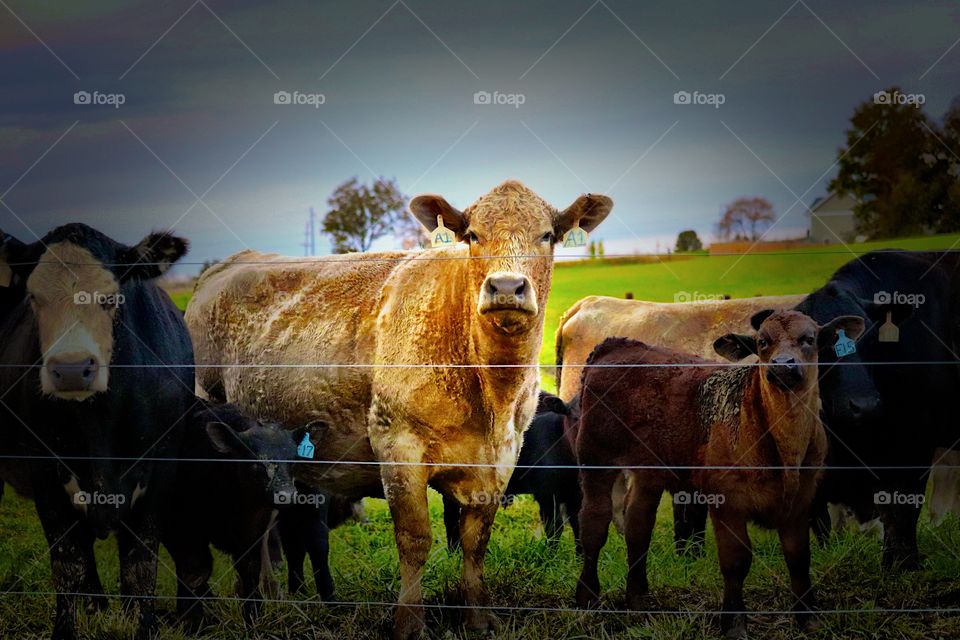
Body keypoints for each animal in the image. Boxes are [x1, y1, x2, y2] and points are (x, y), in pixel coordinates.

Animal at [0, 222, 193, 636]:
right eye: (34, 298)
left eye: (110, 298)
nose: (71, 369)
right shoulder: (45, 473)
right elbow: (67, 562)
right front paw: (65, 630)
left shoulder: (161, 470)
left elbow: (140, 566)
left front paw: (143, 627)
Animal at [163, 402, 324, 628]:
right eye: (256, 461)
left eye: (294, 459)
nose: (286, 494)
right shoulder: (177, 526)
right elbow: (194, 570)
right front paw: (192, 623)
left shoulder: (253, 531)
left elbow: (250, 569)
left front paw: (253, 617)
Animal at [440, 392, 580, 552]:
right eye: (574, 417)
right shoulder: (546, 494)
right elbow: (554, 527)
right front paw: (550, 554)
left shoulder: (576, 496)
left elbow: (578, 525)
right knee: (451, 517)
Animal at [572, 308, 868, 636]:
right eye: (762, 342)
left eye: (809, 339)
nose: (782, 364)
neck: (785, 448)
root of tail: (616, 344)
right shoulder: (727, 501)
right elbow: (736, 561)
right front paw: (734, 623)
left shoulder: (801, 498)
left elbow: (799, 556)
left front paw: (809, 618)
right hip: (595, 456)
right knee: (594, 523)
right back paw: (587, 598)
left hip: (649, 469)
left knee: (638, 524)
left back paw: (638, 601)